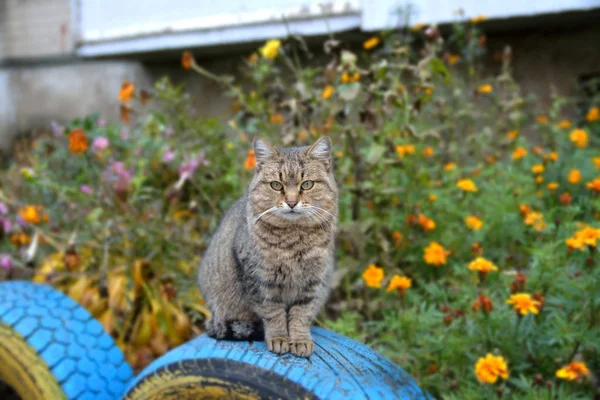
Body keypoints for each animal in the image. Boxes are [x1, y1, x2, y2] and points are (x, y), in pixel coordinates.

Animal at [197, 137, 338, 356]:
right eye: (276, 185)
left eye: (306, 184)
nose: (291, 202)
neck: (293, 239)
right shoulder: (260, 281)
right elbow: (274, 313)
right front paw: (279, 338)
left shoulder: (312, 283)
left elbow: (301, 314)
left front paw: (300, 340)